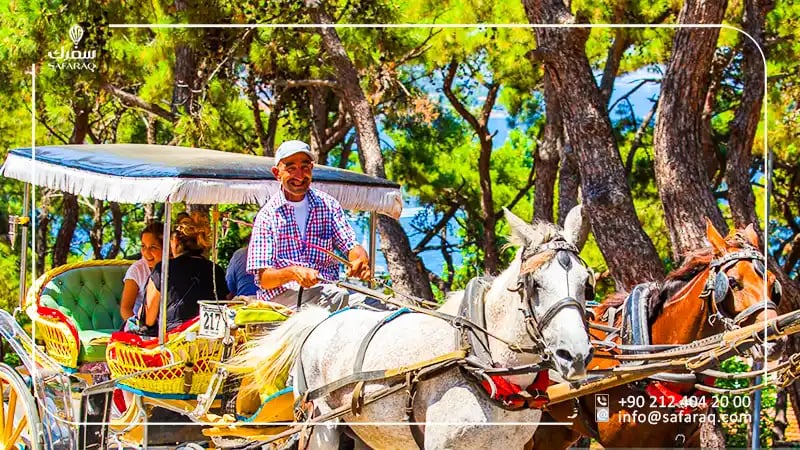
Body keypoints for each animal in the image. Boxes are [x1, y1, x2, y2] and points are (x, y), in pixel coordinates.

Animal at [231, 205, 595, 450]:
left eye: (586, 284)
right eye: (535, 284)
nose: (575, 356)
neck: (481, 360)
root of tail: (320, 319)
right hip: (320, 426)